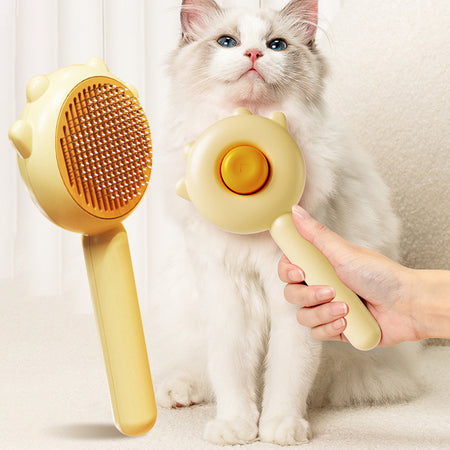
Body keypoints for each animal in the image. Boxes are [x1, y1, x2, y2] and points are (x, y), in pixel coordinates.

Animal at [149, 0, 422, 442]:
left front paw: (281, 428)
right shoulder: (227, 289)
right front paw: (236, 428)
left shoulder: (293, 295)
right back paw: (179, 392)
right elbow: (231, 371)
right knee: (197, 369)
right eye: (227, 42)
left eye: (276, 45)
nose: (253, 54)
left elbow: (289, 373)